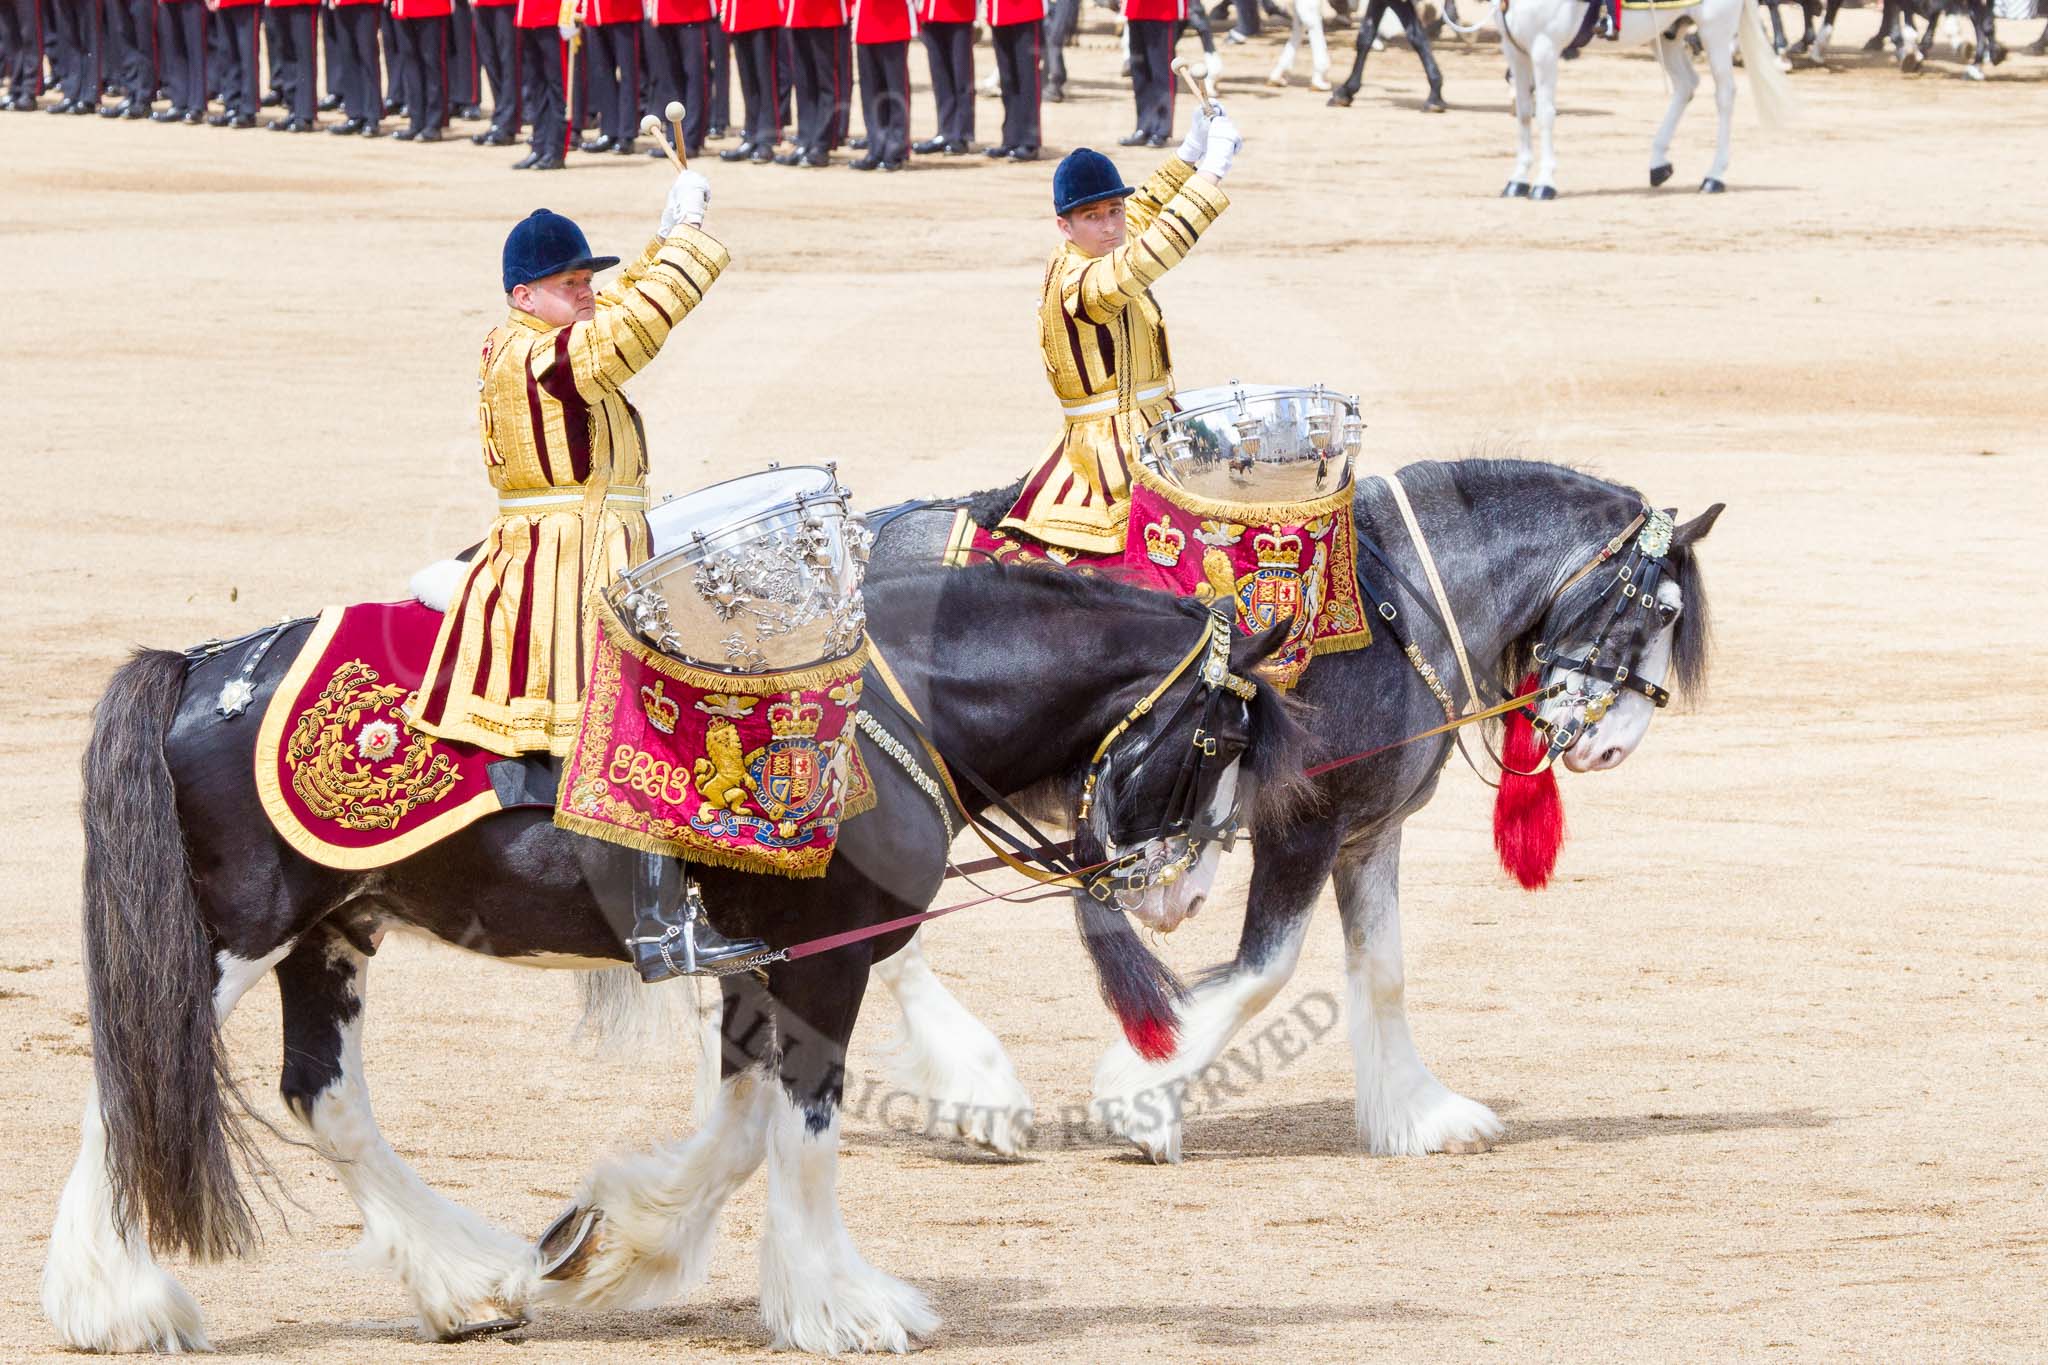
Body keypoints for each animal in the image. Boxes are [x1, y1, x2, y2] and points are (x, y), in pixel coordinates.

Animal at [44, 564, 1310, 1358]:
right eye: (1217, 739)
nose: (1183, 893)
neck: (883, 707)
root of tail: (197, 666)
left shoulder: (763, 963)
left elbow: (742, 1133)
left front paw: (611, 1244)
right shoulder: (823, 966)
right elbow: (801, 1132)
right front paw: (841, 1309)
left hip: (331, 933)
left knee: (325, 1097)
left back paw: (469, 1286)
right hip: (235, 938)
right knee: (139, 1077)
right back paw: (119, 1306)